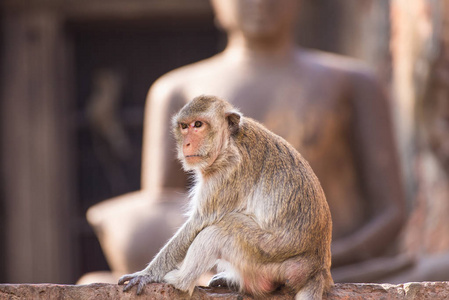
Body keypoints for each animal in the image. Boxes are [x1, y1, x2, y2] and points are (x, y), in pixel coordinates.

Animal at [119, 96, 332, 300]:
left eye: (198, 124)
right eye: (184, 126)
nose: (186, 143)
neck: (230, 141)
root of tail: (318, 270)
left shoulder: (227, 173)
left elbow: (199, 223)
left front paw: (147, 275)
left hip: (267, 255)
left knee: (220, 229)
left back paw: (179, 281)